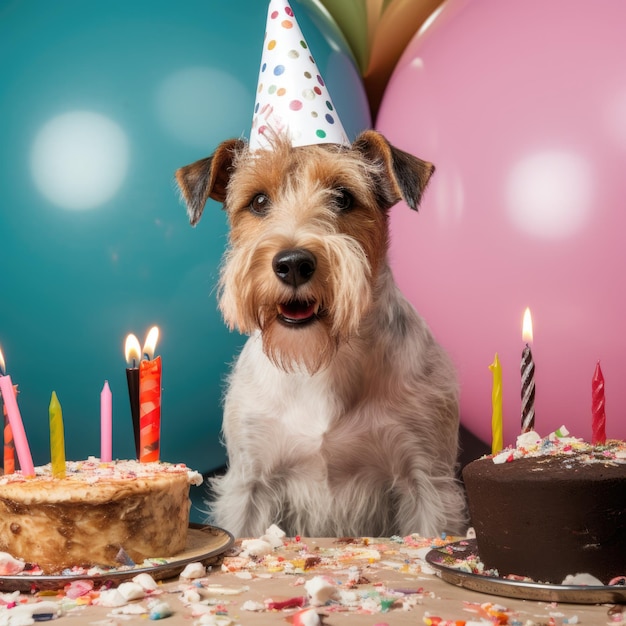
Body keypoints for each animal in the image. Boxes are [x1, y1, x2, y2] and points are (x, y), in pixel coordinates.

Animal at [174, 128, 464, 536]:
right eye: (258, 201)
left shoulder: (427, 482)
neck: (323, 361)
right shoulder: (250, 484)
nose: (293, 263)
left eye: (343, 197)